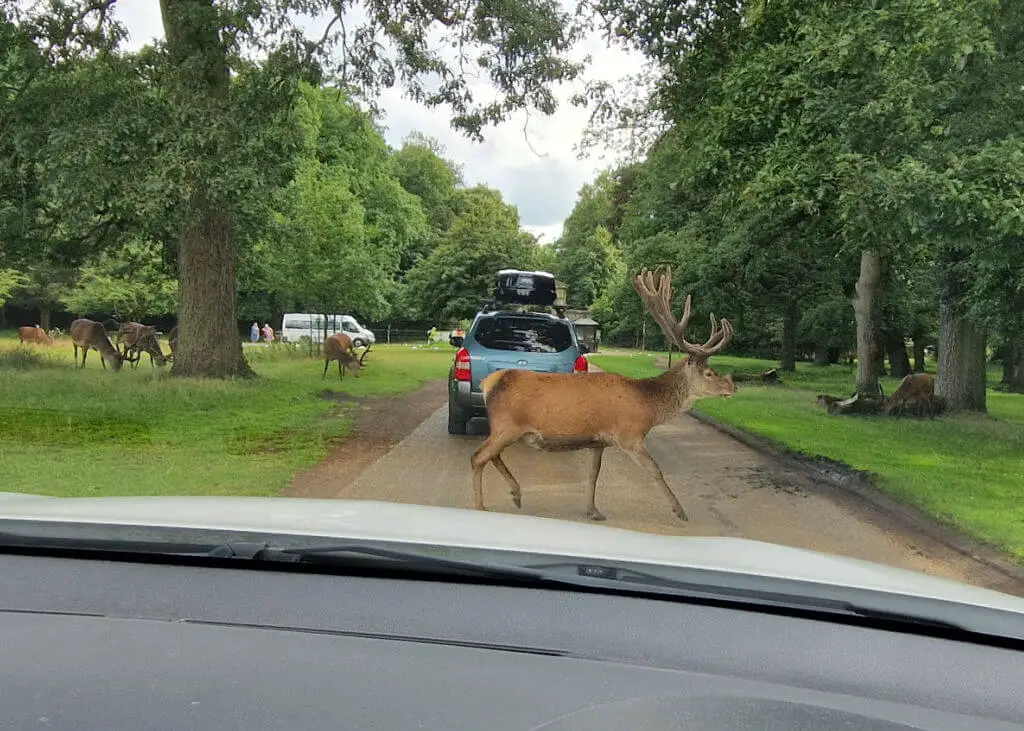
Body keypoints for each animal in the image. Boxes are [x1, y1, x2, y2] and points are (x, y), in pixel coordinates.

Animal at [470, 266, 735, 523]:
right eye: (709, 373)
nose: (732, 386)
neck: (648, 405)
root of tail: (489, 383)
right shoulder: (629, 435)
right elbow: (655, 469)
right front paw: (680, 511)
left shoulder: (598, 441)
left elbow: (593, 474)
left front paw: (593, 510)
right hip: (506, 425)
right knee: (478, 457)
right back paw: (481, 505)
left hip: (509, 430)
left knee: (491, 456)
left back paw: (516, 493)